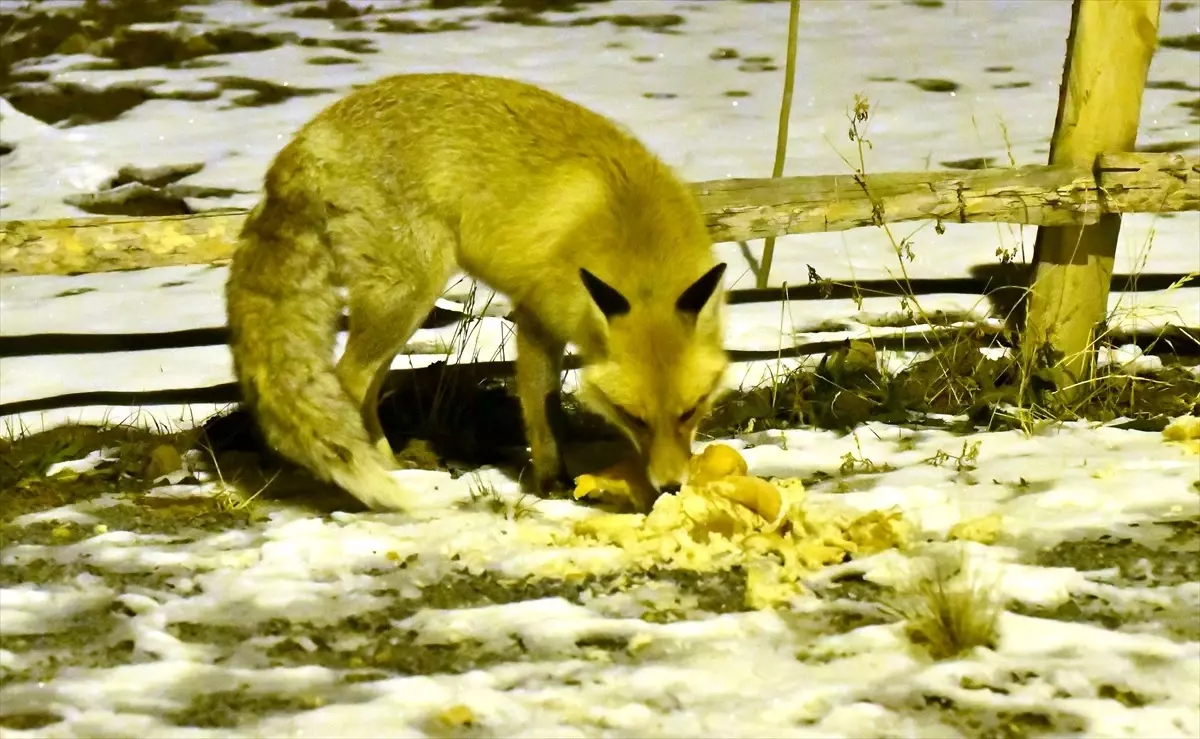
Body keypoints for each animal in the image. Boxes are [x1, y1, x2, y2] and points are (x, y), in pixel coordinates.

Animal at [225, 73, 729, 513]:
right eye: (633, 417)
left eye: (690, 412)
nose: (670, 487)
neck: (635, 239)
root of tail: (305, 138)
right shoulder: (537, 315)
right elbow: (543, 408)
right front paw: (552, 481)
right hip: (407, 294)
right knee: (348, 381)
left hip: (402, 308)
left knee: (366, 387)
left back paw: (395, 466)